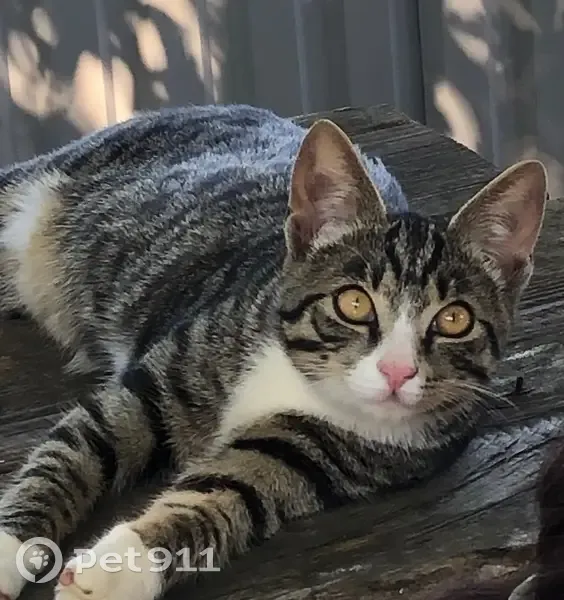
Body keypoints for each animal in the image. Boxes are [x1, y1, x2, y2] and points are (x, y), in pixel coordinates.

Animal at [0, 103, 548, 600]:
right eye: (353, 302)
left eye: (454, 320)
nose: (397, 371)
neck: (294, 370)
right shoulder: (161, 377)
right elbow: (79, 449)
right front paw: (9, 548)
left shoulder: (316, 453)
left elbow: (229, 488)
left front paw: (122, 565)